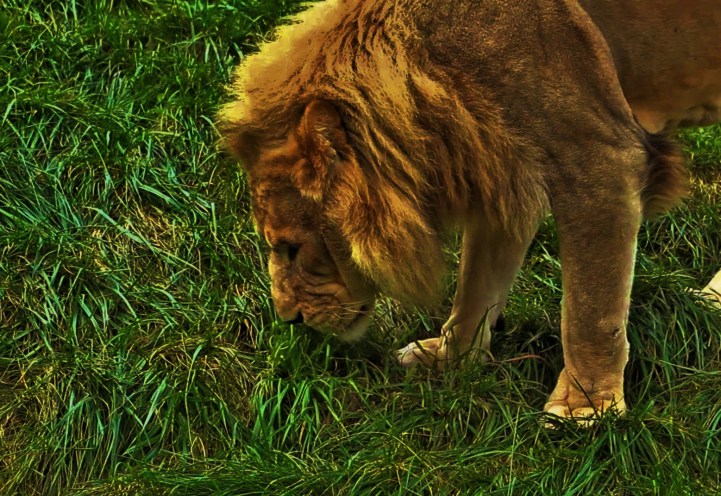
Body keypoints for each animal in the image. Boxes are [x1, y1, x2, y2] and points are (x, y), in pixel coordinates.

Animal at [218, 0, 721, 421]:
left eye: (290, 248)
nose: (289, 320)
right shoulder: (503, 169)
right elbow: (476, 285)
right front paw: (450, 358)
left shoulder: (599, 160)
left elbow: (589, 310)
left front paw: (586, 407)